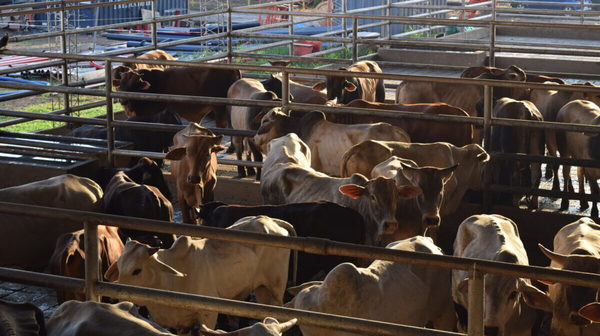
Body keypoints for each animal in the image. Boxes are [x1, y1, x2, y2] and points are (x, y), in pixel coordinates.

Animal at [106, 215, 296, 334]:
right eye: (120, 266)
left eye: (137, 270)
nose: (115, 296)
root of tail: (269, 220)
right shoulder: (180, 324)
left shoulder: (208, 315)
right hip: (262, 289)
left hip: (275, 288)